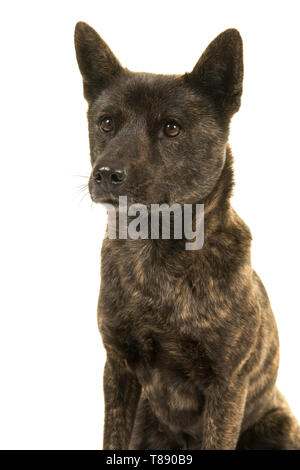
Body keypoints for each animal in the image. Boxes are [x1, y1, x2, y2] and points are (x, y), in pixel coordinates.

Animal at [73, 23, 300, 452]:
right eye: (106, 122)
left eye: (172, 127)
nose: (106, 174)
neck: (154, 253)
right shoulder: (119, 371)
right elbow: (113, 437)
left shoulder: (226, 386)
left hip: (277, 424)